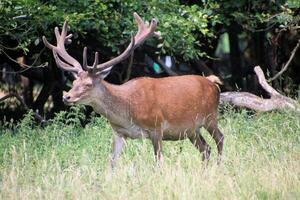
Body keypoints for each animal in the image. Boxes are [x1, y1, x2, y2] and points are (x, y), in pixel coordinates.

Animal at [42, 12, 225, 169]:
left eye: (88, 84)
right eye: (74, 81)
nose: (66, 97)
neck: (127, 111)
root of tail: (212, 82)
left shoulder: (156, 127)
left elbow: (159, 161)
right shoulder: (118, 133)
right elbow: (111, 162)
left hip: (210, 116)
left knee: (220, 138)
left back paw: (219, 167)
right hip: (191, 130)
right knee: (205, 149)